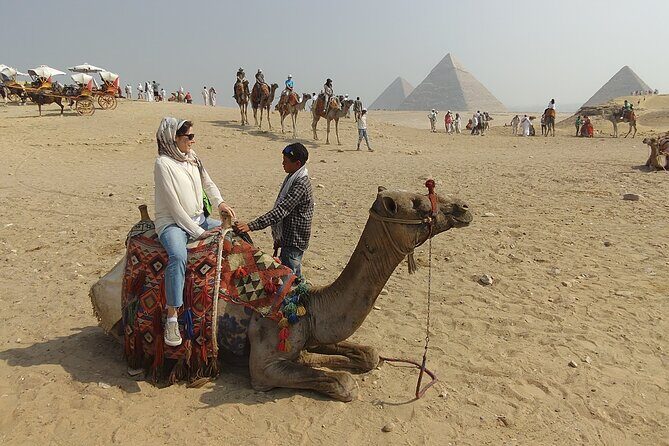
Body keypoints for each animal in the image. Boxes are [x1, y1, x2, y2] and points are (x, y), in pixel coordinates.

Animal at [90, 187, 472, 401]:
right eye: (419, 203)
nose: (464, 208)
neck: (305, 301)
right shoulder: (263, 365)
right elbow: (344, 383)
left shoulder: (311, 330)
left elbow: (368, 355)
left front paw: (329, 358)